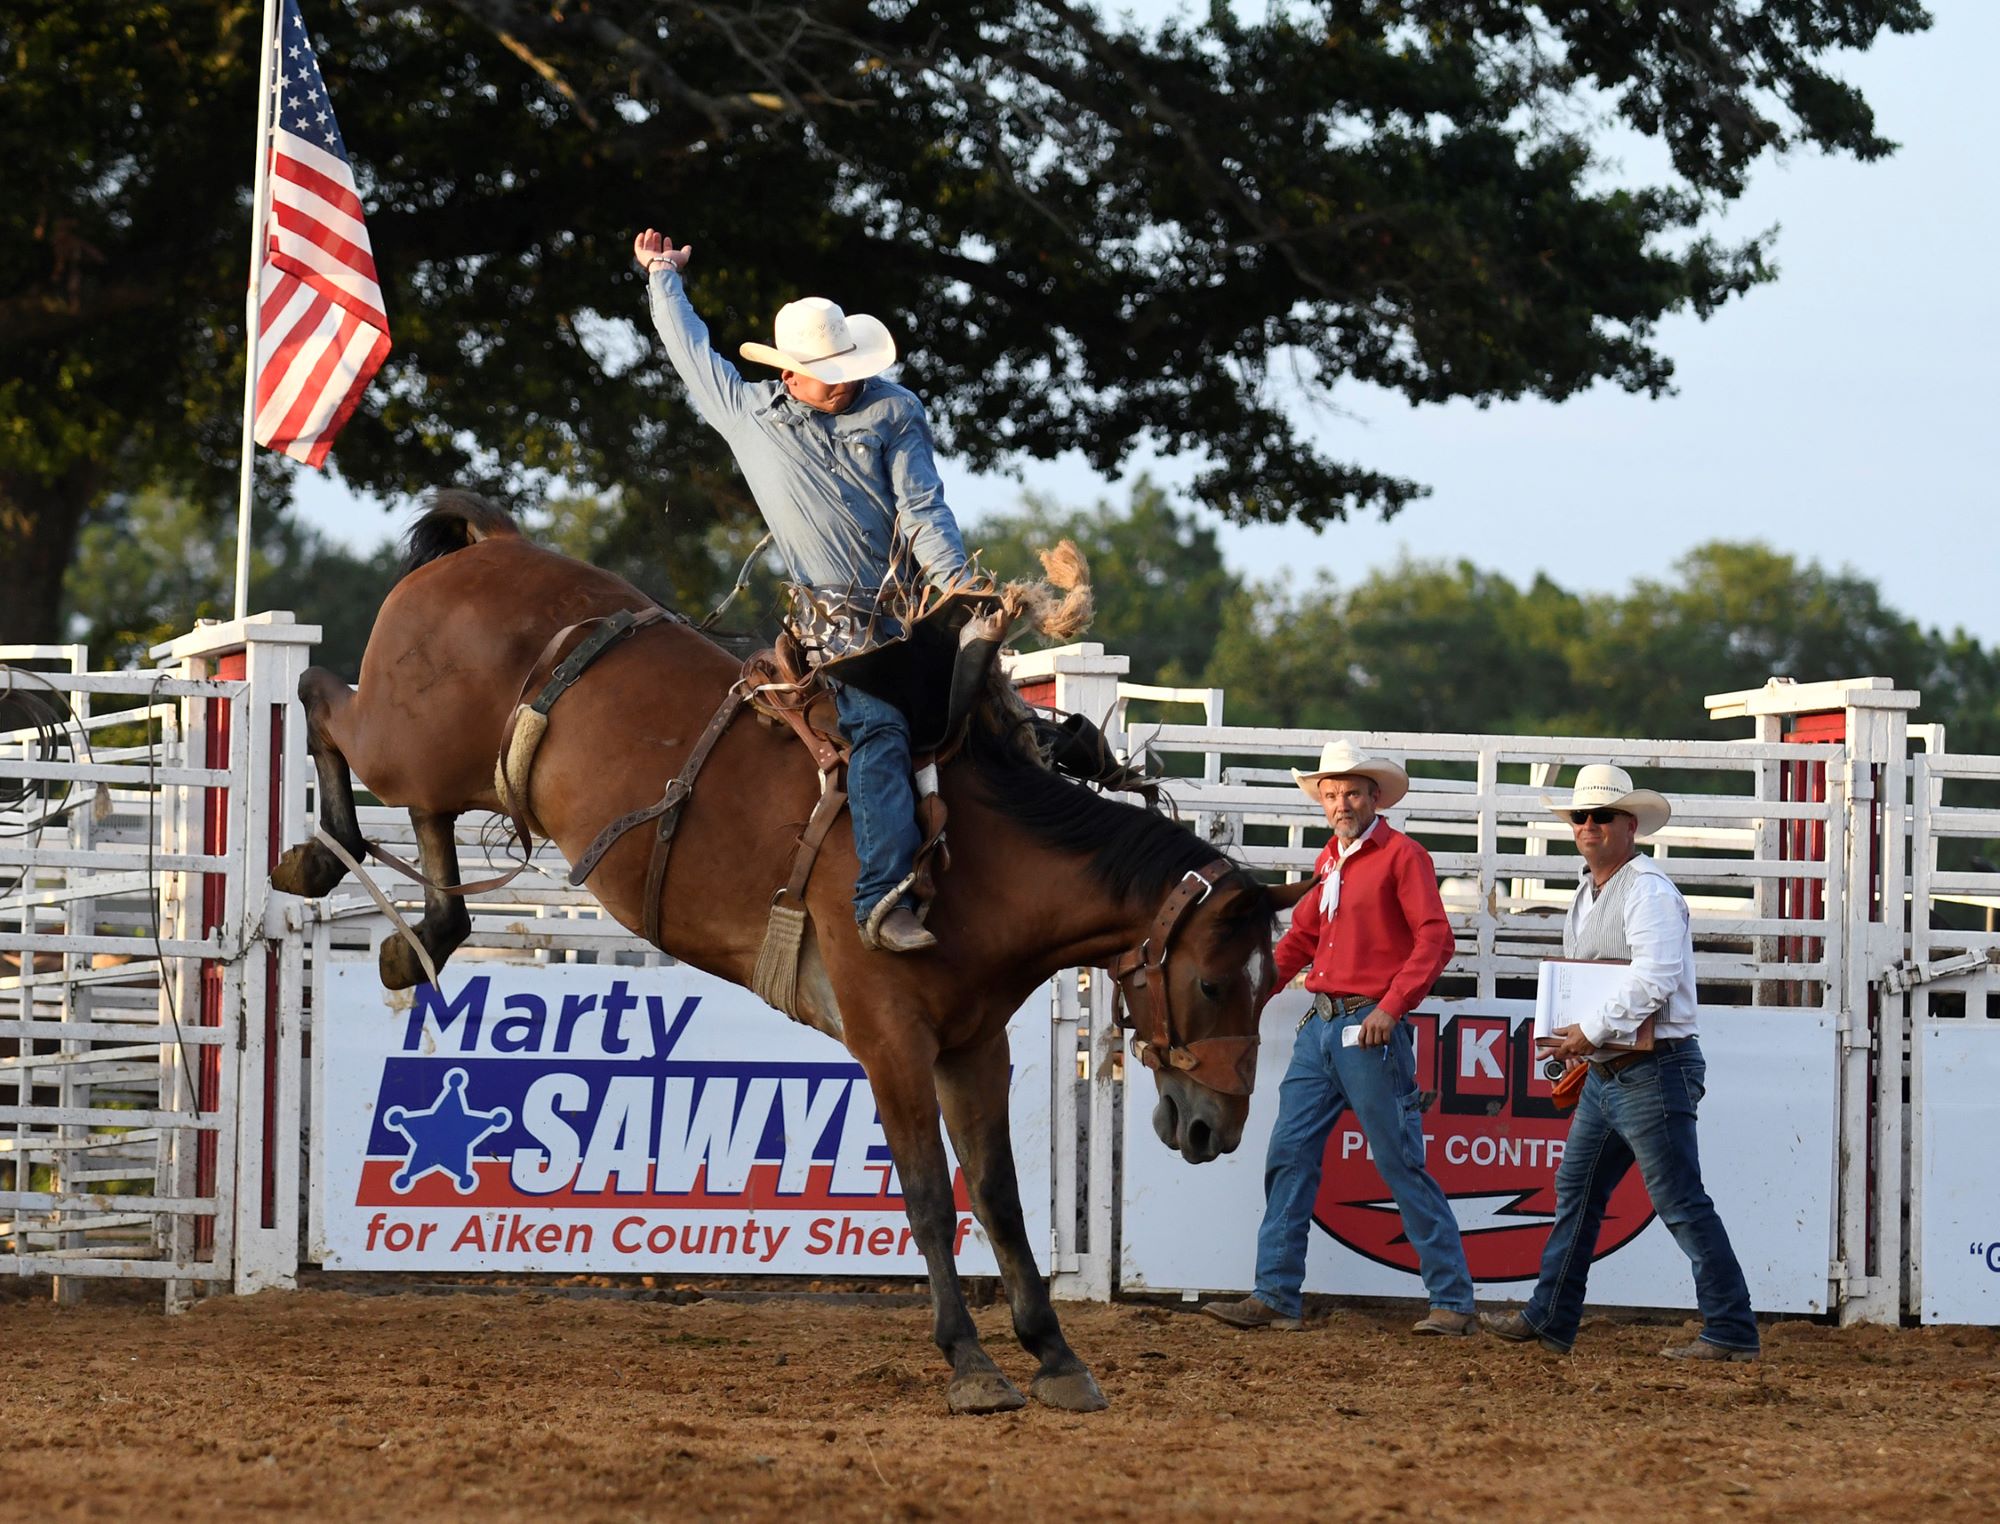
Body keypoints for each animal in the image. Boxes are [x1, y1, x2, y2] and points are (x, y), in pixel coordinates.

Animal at [270, 490, 1296, 1416]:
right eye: (1213, 983)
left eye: (1268, 985)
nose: (1215, 1129)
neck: (981, 858)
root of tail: (489, 547)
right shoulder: (889, 1040)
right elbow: (930, 1195)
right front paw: (970, 1364)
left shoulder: (974, 1046)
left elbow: (999, 1196)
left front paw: (1054, 1354)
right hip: (404, 740)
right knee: (320, 702)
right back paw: (312, 855)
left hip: (460, 769)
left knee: (429, 826)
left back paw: (415, 946)